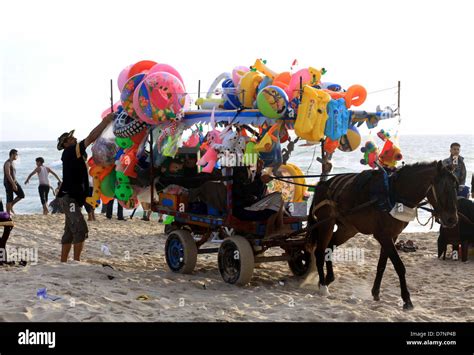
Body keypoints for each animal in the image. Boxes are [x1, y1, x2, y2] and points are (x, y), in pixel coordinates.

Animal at [308, 160, 460, 310]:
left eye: (455, 187)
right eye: (443, 188)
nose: (452, 219)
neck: (393, 193)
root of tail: (322, 184)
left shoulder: (392, 235)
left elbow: (382, 265)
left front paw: (376, 292)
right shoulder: (383, 236)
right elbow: (399, 266)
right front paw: (406, 299)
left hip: (348, 229)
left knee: (330, 246)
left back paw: (328, 278)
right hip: (326, 224)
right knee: (319, 252)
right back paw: (323, 286)